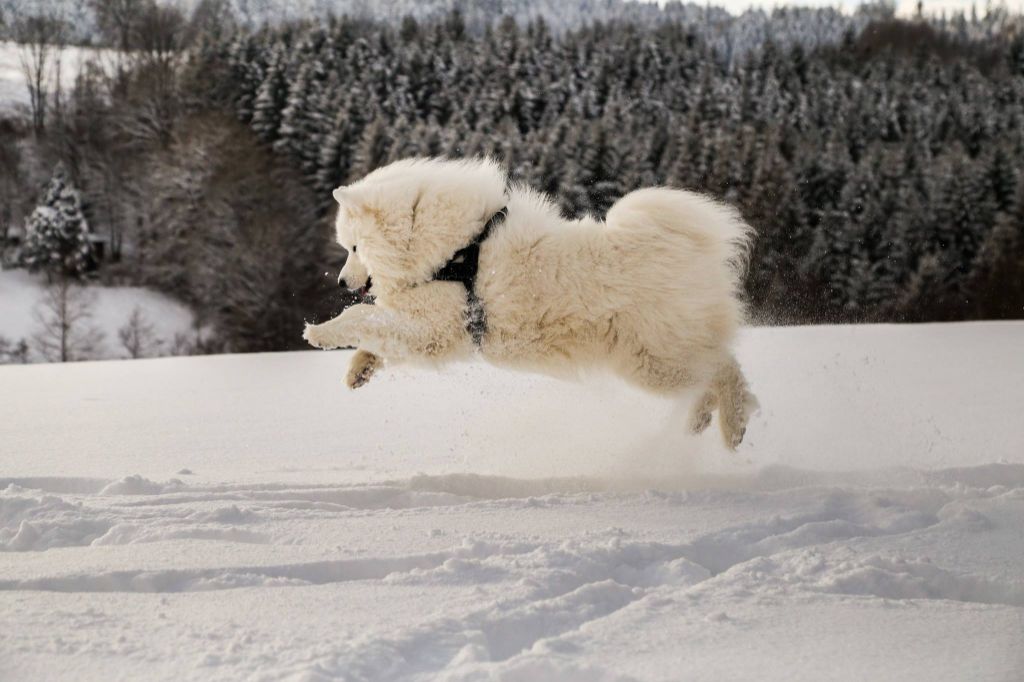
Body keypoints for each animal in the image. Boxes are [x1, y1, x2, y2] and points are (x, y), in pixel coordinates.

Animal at [299, 157, 757, 448]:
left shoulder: (438, 322)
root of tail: (688, 246)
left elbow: (363, 315)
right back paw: (701, 419)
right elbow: (379, 332)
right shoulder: (430, 331)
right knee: (716, 369)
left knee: (722, 368)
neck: (454, 250)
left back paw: (732, 426)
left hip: (653, 360)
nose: (341, 280)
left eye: (353, 246)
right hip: (657, 358)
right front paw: (359, 369)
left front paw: (320, 333)